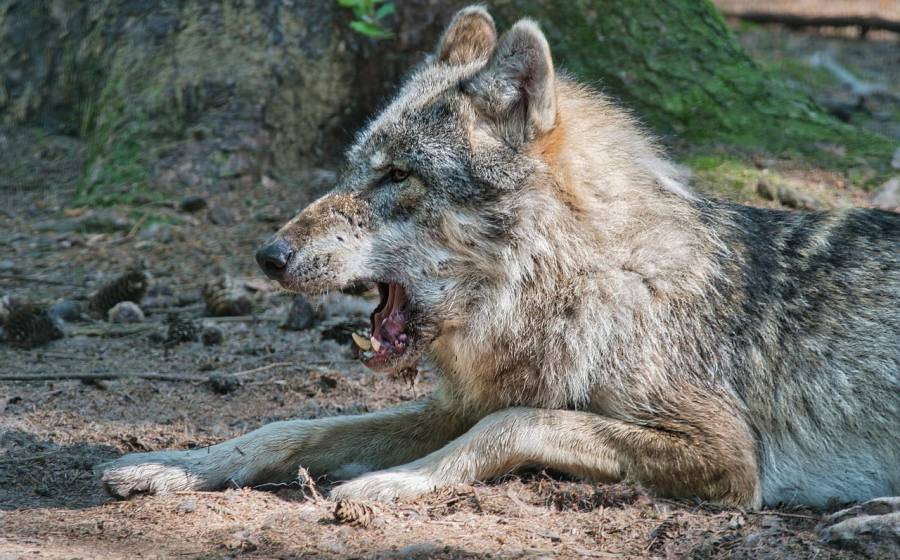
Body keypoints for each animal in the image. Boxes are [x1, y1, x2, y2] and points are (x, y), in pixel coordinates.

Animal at [98, 3, 900, 528]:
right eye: (353, 169)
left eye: (398, 176)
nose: (269, 256)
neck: (583, 286)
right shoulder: (450, 405)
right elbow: (289, 427)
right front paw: (174, 467)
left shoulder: (726, 456)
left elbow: (513, 424)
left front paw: (393, 482)